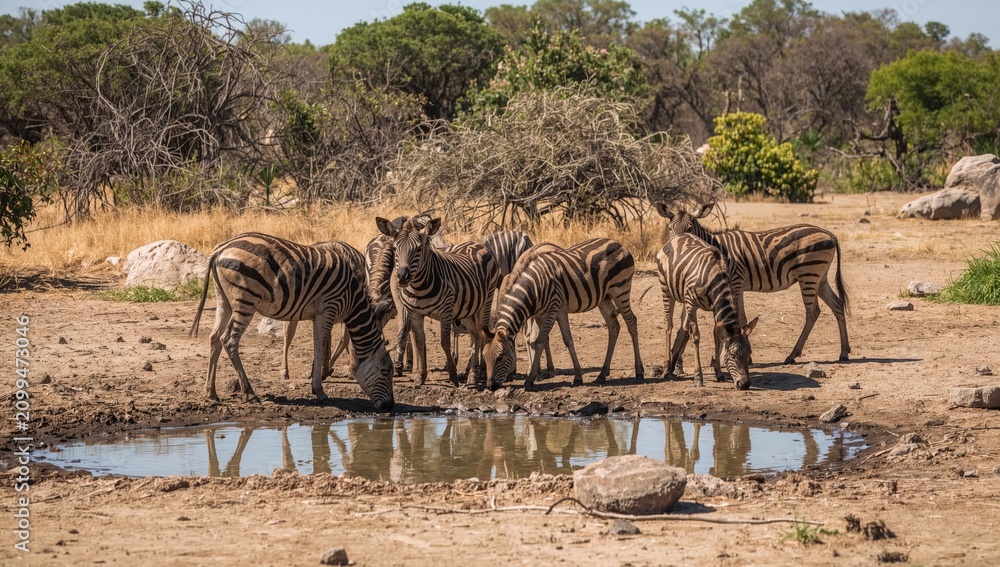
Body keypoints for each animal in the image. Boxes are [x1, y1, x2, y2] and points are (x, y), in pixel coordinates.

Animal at [189, 232, 395, 410]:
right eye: (385, 372)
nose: (390, 406)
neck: (352, 297)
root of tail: (221, 249)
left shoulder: (317, 315)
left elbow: (318, 349)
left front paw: (316, 383)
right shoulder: (328, 309)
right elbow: (320, 350)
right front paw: (320, 391)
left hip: (223, 299)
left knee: (214, 338)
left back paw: (211, 393)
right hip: (246, 299)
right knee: (229, 339)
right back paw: (249, 393)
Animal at [372, 216, 500, 387]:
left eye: (419, 249)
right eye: (394, 248)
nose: (403, 277)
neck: (419, 287)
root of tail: (477, 244)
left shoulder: (445, 313)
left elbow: (444, 343)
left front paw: (453, 375)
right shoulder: (415, 313)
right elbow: (419, 341)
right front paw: (420, 377)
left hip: (486, 302)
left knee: (483, 334)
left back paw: (481, 373)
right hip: (466, 309)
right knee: (476, 335)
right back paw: (472, 376)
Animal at [483, 238, 644, 391]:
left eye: (500, 358)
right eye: (484, 358)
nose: (491, 387)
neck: (533, 288)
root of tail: (618, 244)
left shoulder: (553, 309)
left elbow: (541, 341)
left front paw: (530, 379)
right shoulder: (550, 313)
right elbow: (565, 340)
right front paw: (577, 376)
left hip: (620, 289)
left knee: (631, 322)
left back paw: (639, 372)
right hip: (604, 297)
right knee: (614, 327)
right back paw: (602, 375)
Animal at [655, 202, 851, 364]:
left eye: (690, 228)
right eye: (670, 228)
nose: (677, 245)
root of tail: (829, 234)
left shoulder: (735, 282)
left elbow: (739, 318)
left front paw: (739, 357)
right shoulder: (735, 286)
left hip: (809, 274)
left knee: (813, 312)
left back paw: (793, 354)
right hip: (820, 278)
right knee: (837, 305)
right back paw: (844, 352)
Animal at [657, 233, 759, 389]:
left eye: (749, 354)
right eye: (733, 355)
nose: (745, 385)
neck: (715, 276)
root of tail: (676, 237)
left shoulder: (716, 307)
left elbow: (716, 336)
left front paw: (719, 373)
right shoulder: (692, 303)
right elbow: (696, 337)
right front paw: (698, 377)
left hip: (684, 299)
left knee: (683, 328)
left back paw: (673, 365)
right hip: (666, 290)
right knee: (669, 326)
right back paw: (667, 368)